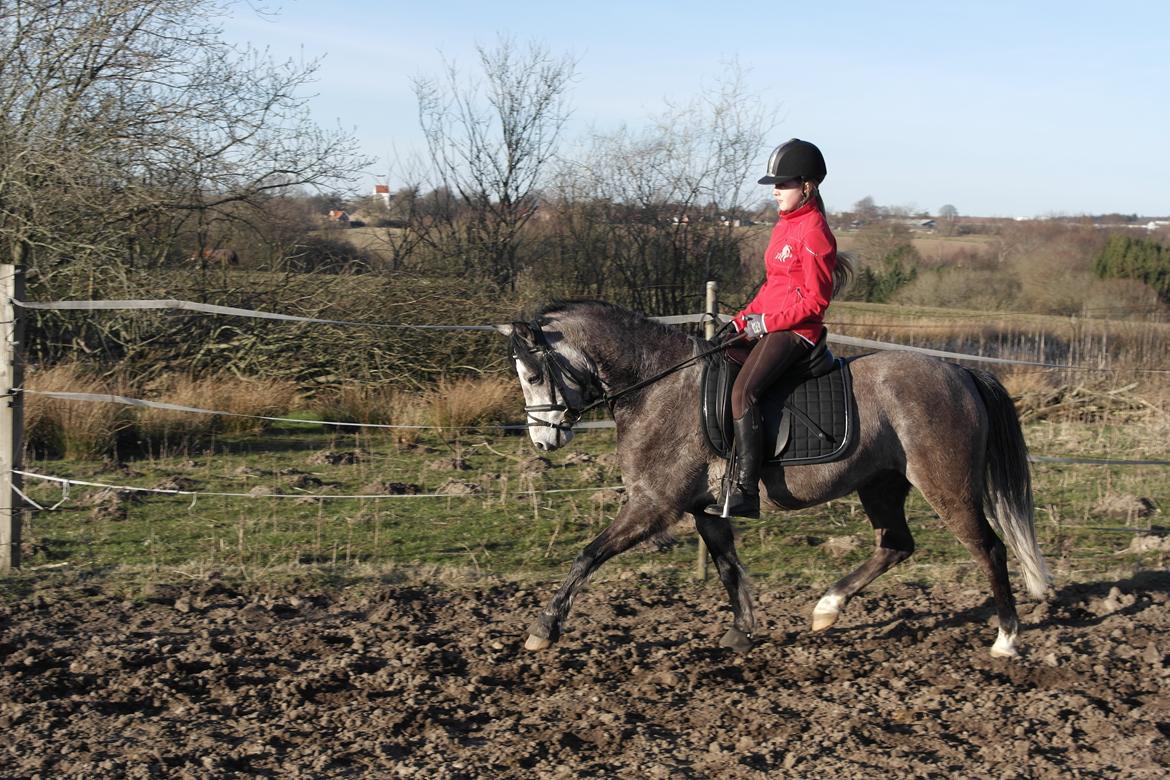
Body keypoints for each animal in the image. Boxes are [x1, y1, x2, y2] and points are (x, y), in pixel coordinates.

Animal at [497, 300, 1051, 658]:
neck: (656, 386)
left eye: (533, 375)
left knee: (989, 549)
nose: (543, 442)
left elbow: (588, 555)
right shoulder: (705, 509)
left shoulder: (653, 505)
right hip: (881, 484)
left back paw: (1006, 639)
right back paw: (827, 608)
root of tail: (960, 373)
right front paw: (742, 632)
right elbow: (727, 568)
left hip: (947, 488)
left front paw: (544, 627)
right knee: (895, 544)